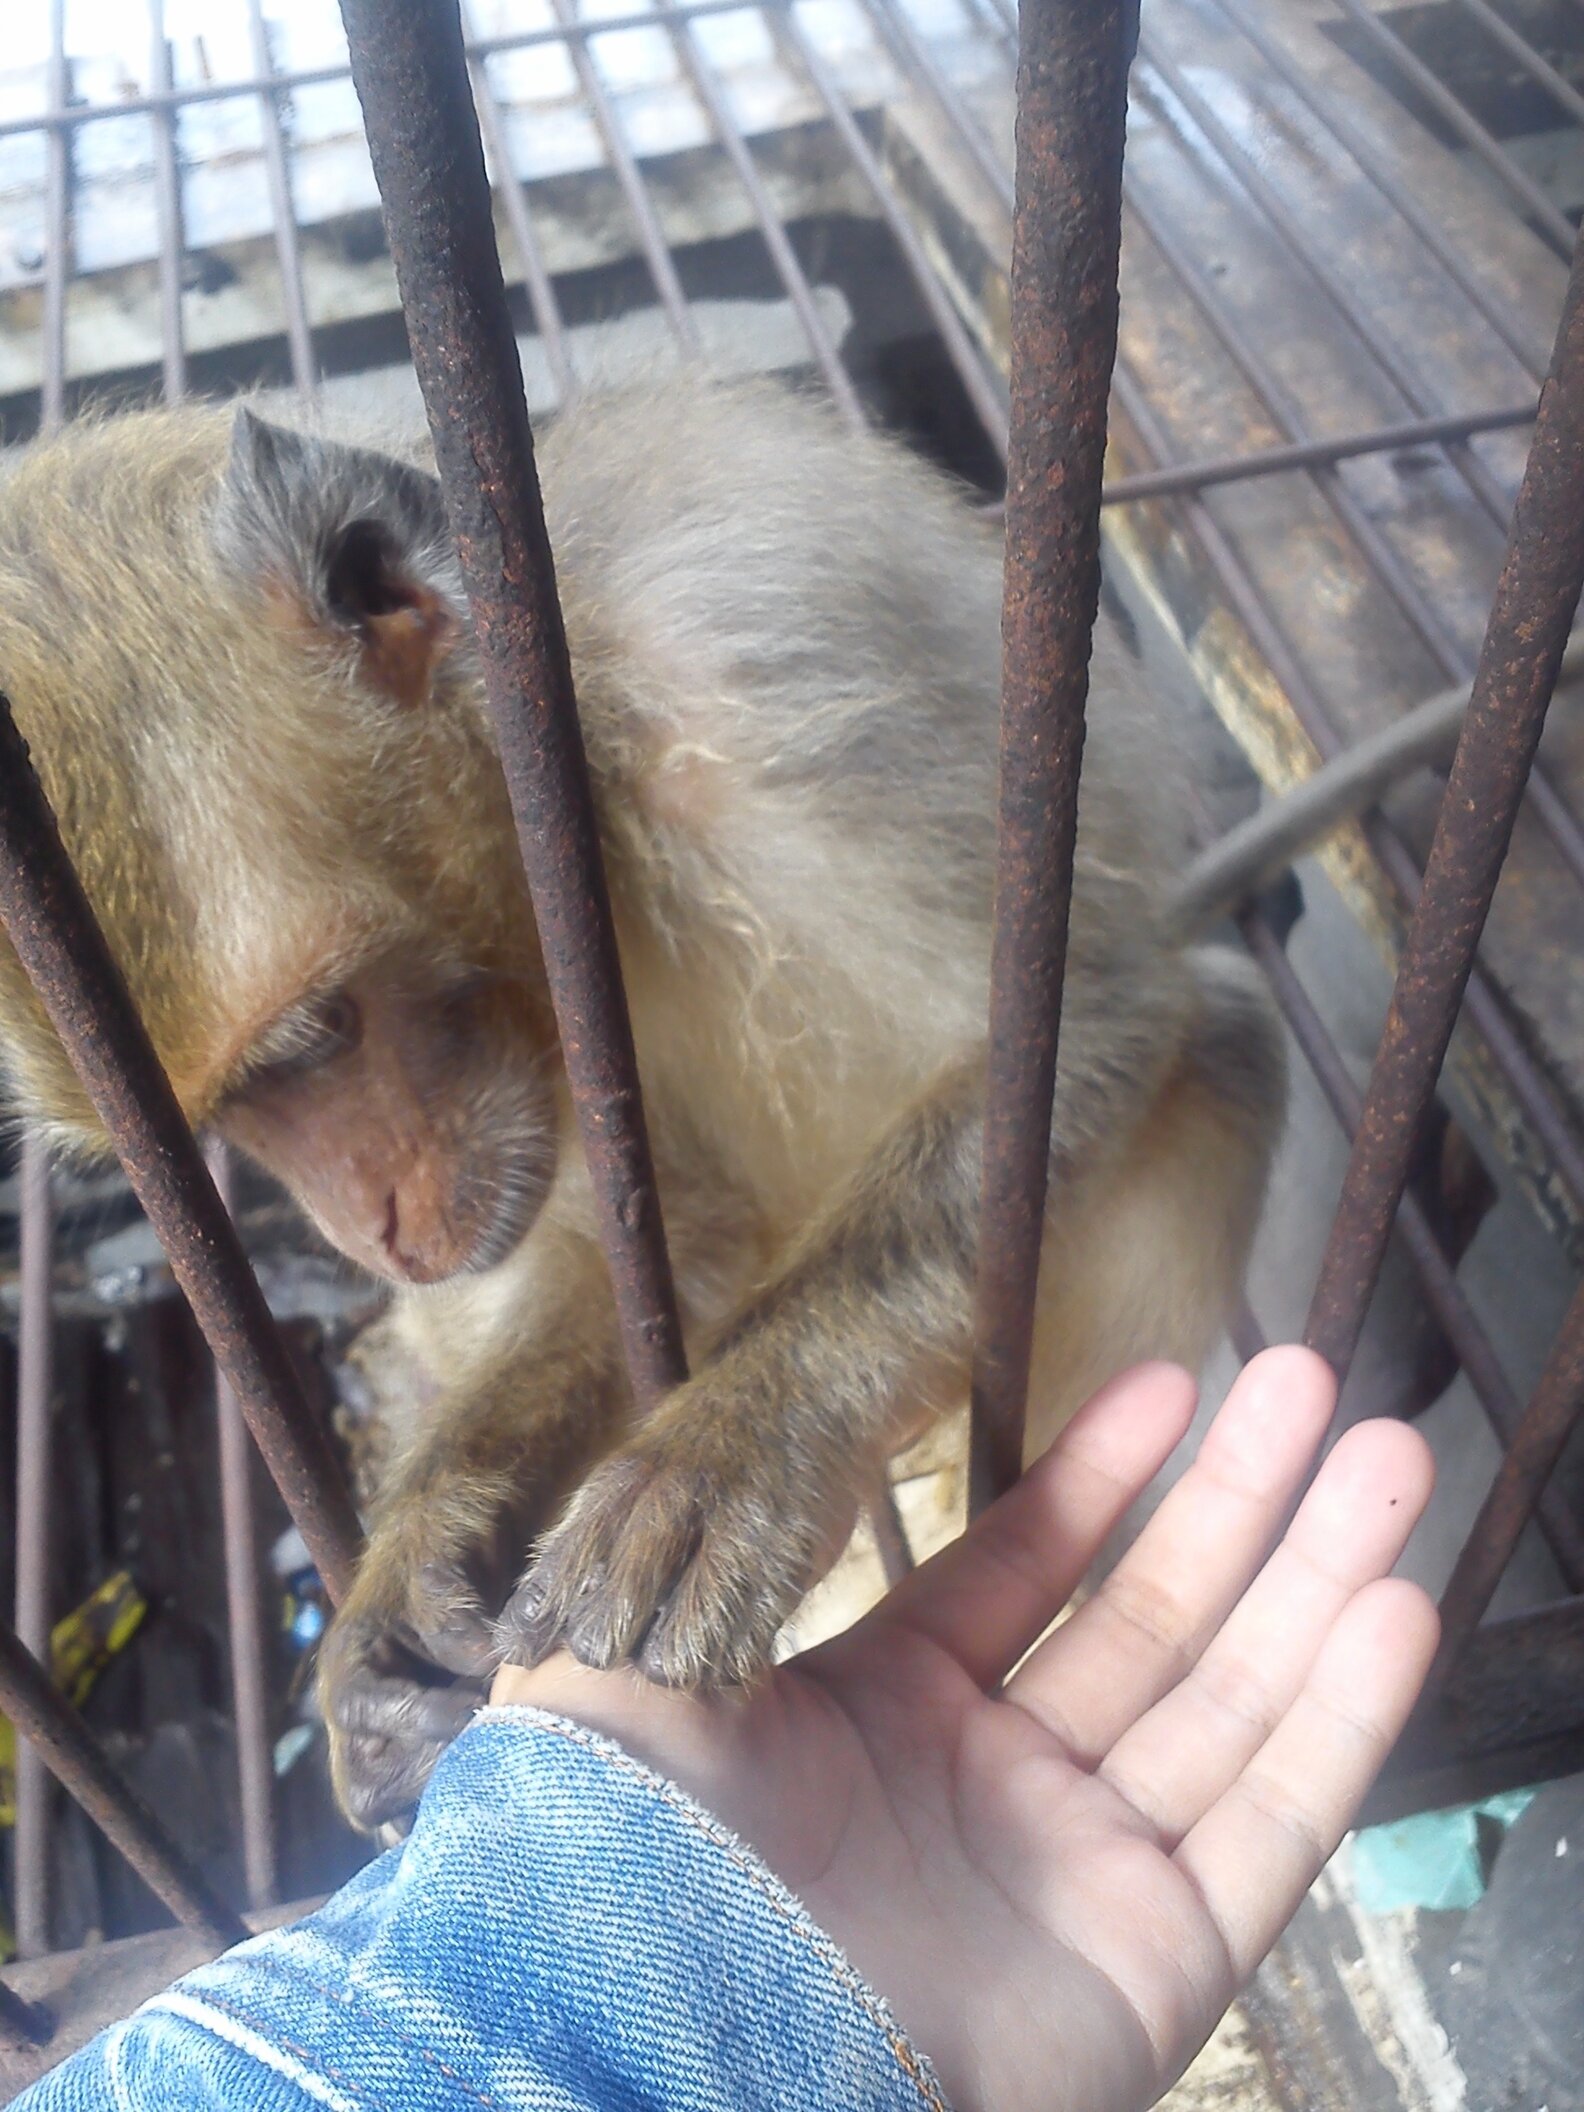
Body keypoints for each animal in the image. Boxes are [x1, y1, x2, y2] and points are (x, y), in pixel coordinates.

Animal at [1, 367, 1486, 1837]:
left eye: (310, 1042)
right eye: (228, 1116)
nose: (361, 1225)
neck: (567, 757)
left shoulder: (752, 685)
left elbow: (1085, 1014)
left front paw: (740, 1444)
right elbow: (663, 1235)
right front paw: (419, 1554)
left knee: (1222, 1039)